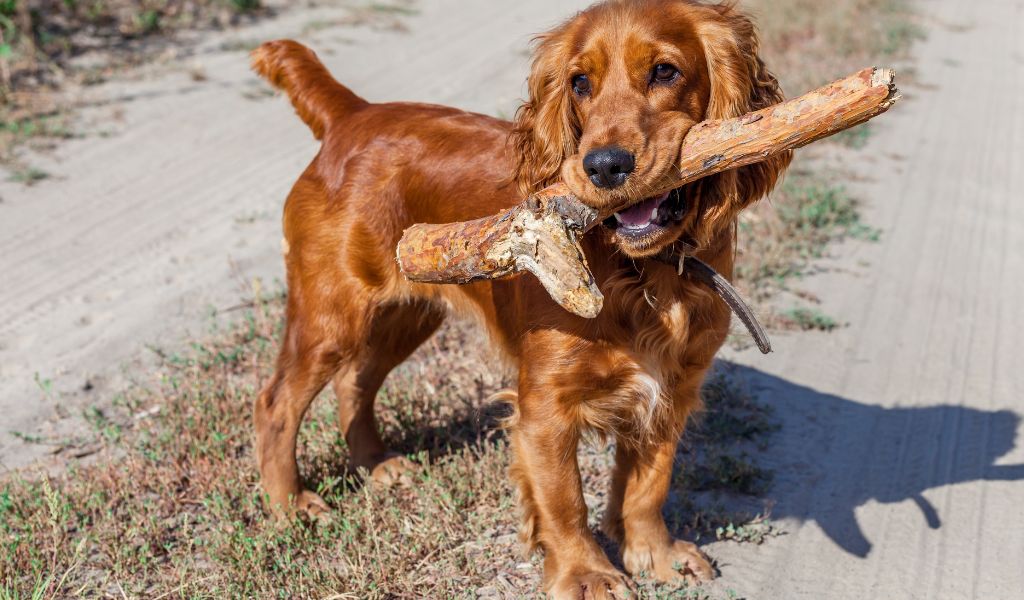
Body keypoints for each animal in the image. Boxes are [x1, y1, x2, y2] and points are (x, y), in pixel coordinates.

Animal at [249, 1, 790, 593]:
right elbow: (565, 499)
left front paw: (655, 554)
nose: (603, 165)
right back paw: (291, 505)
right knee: (276, 402)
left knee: (356, 381)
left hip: (409, 313)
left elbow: (650, 483)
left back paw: (378, 464)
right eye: (579, 83)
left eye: (665, 72)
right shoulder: (545, 407)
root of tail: (352, 114)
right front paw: (586, 573)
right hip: (333, 314)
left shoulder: (673, 387)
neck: (644, 274)